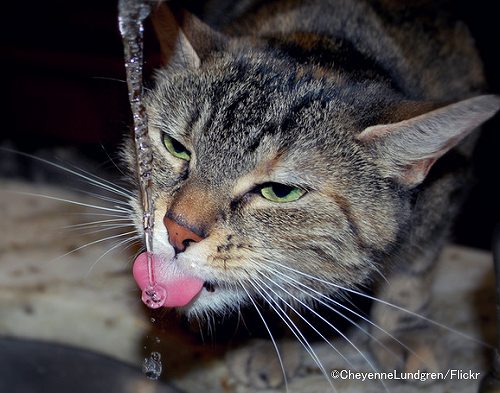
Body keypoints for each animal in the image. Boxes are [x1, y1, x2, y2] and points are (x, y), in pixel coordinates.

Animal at [126, 0, 500, 388]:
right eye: (176, 147)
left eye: (280, 192)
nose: (176, 230)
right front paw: (269, 337)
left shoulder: (444, 198)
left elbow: (413, 273)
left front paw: (404, 328)